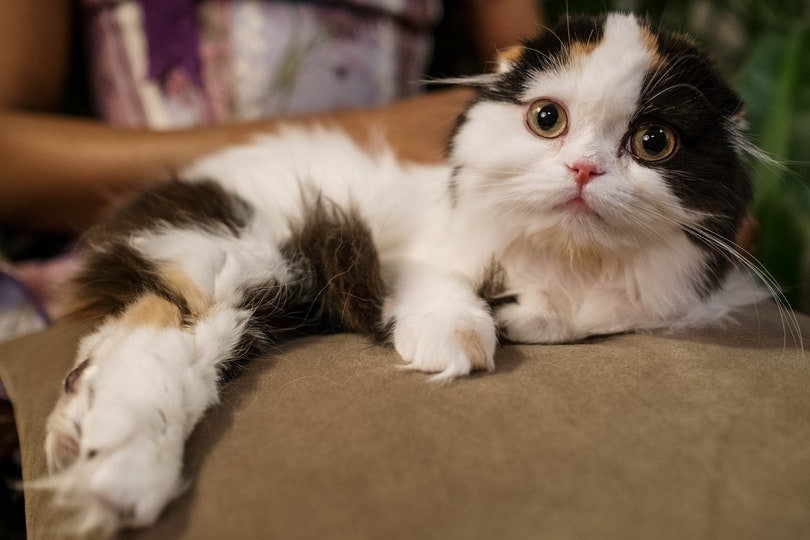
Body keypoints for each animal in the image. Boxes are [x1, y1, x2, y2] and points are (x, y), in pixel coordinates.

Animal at [42, 10, 772, 532]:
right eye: (547, 120)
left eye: (653, 142)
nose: (584, 170)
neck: (566, 260)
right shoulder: (412, 258)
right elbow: (444, 296)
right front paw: (458, 342)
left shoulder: (660, 298)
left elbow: (587, 318)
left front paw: (525, 318)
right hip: (241, 261)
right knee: (151, 338)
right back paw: (118, 476)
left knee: (120, 341)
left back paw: (80, 442)